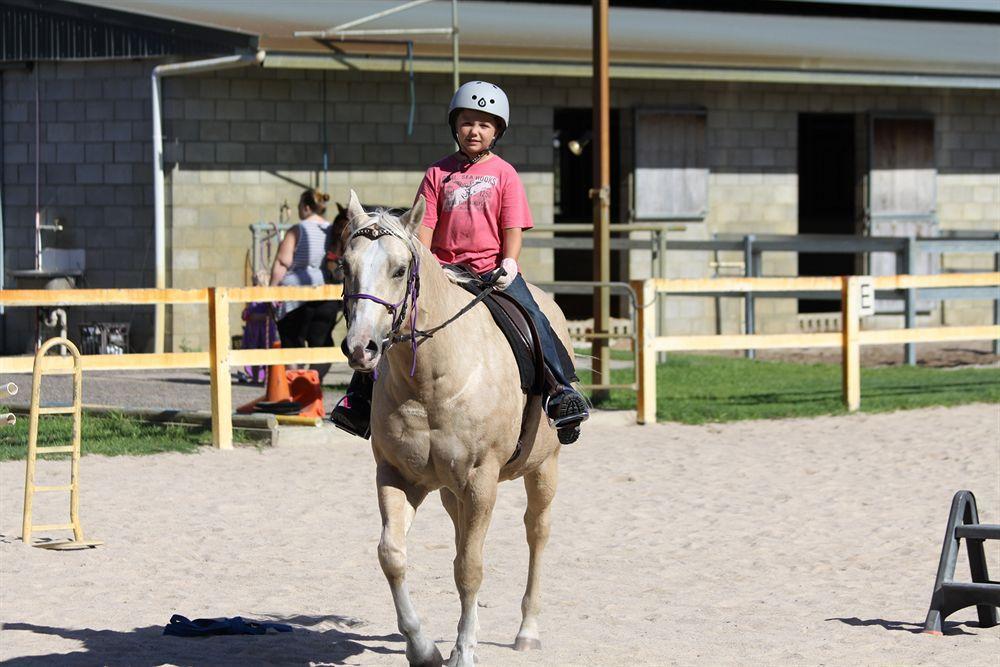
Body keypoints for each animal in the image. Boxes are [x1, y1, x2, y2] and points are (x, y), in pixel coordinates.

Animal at [340, 190, 568, 664]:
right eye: (344, 266)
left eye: (399, 269)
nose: (360, 348)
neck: (431, 380)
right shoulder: (396, 475)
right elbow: (392, 555)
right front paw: (423, 647)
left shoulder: (481, 481)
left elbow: (470, 568)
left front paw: (463, 651)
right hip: (450, 490)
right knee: (462, 537)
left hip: (544, 468)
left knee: (536, 533)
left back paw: (527, 631)